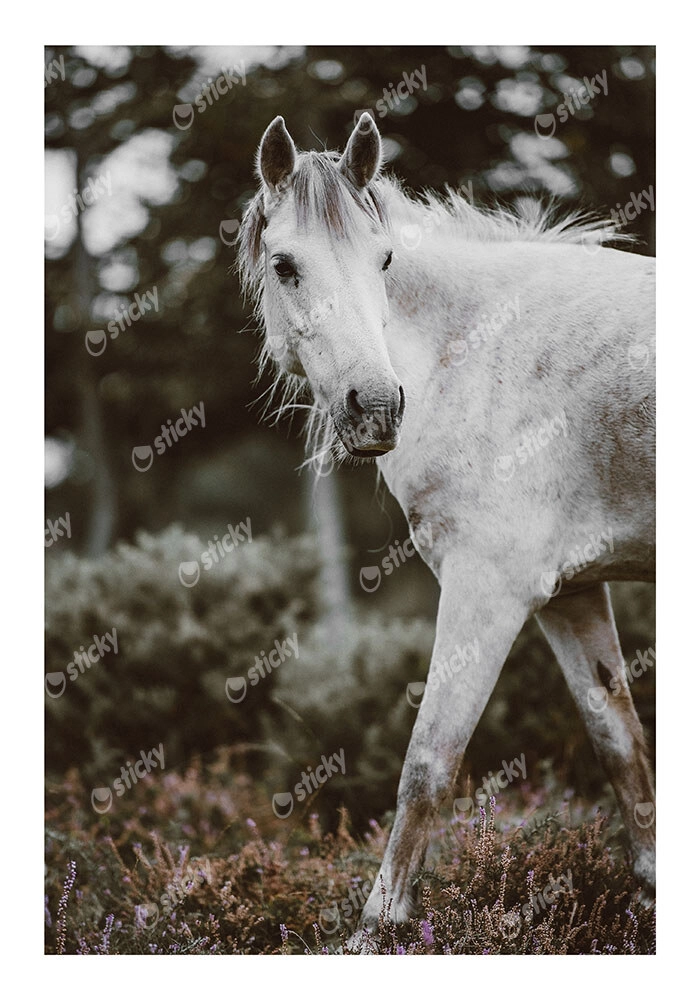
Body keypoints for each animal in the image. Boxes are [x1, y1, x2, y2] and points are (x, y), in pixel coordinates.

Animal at [238, 113, 655, 944]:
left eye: (384, 259)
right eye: (286, 266)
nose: (376, 406)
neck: (482, 351)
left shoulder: (487, 588)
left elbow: (429, 762)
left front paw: (376, 929)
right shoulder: (571, 594)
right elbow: (620, 745)